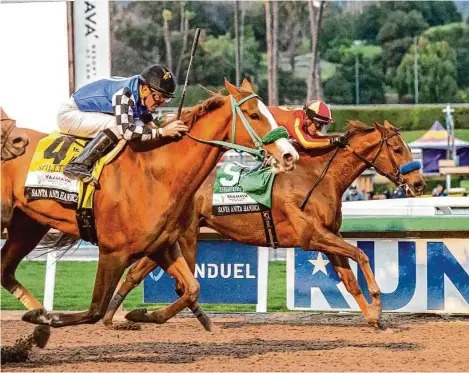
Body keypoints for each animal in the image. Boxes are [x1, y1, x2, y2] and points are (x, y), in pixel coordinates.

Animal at [0, 80, 298, 330]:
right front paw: (49, 318)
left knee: (5, 271)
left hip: (28, 225)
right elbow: (95, 310)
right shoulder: (112, 251)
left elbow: (191, 287)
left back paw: (36, 310)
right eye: (254, 114)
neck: (158, 173)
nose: (289, 155)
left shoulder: (161, 246)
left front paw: (142, 314)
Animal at [104, 119, 426, 328]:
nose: (419, 183)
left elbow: (349, 279)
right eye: (397, 148)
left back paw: (122, 315)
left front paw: (373, 317)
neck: (319, 176)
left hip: (170, 239)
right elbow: (360, 254)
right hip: (184, 237)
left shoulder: (328, 236)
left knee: (139, 274)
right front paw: (377, 301)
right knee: (175, 283)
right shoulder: (312, 235)